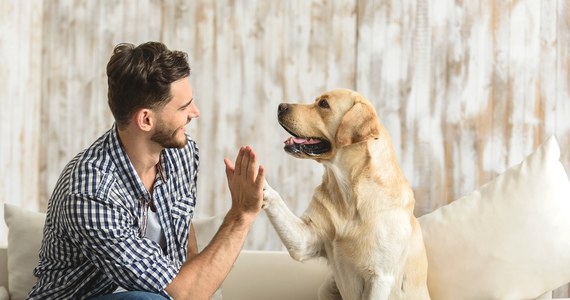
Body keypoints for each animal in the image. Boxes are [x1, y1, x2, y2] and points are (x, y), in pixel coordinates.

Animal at [264, 88, 428, 298]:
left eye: (323, 104)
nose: (280, 106)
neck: (349, 193)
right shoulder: (305, 240)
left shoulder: (381, 277)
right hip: (327, 287)